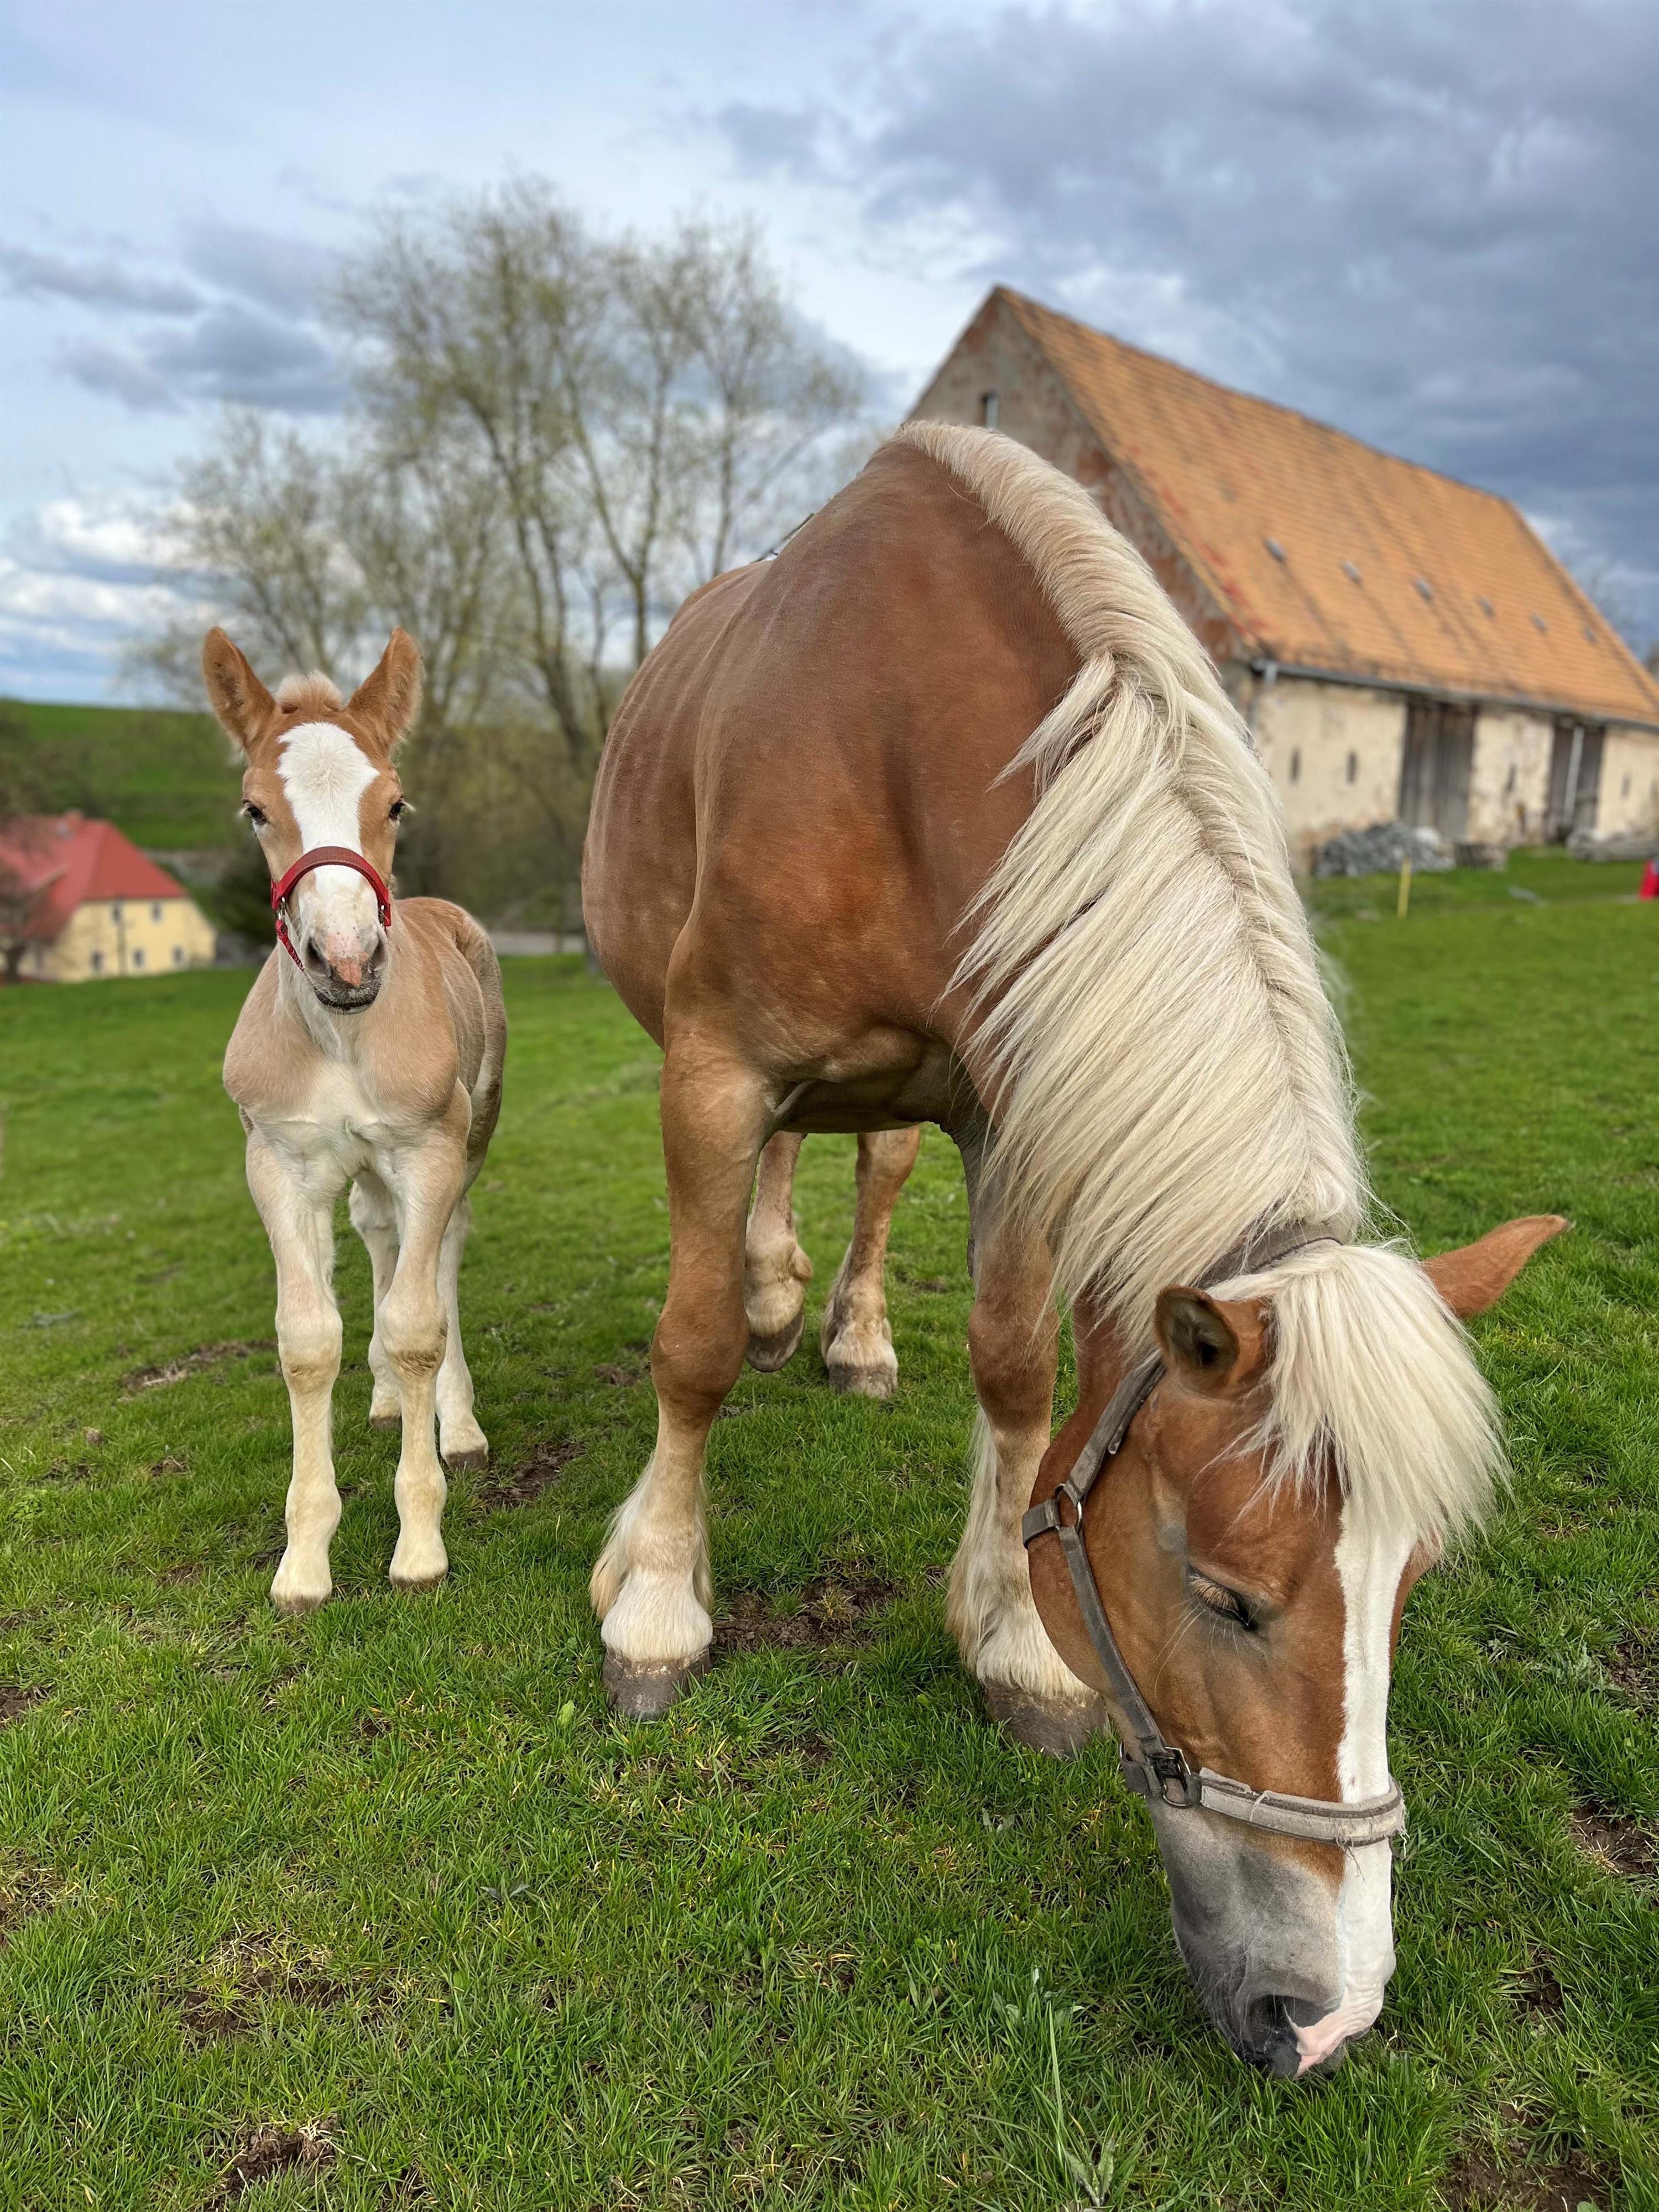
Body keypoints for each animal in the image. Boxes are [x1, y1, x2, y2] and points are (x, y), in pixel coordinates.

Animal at [205, 627, 505, 1613]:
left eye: (396, 803)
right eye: (255, 810)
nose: (345, 962)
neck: (341, 1037)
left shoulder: (428, 1151)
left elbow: (417, 1327)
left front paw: (420, 1545)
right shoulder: (277, 1164)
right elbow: (308, 1341)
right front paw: (303, 1562)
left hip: (469, 1137)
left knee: (439, 1256)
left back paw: (458, 1420)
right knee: (377, 1235)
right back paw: (378, 1399)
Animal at [581, 423, 1564, 2073]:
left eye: (1410, 1585)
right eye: (1226, 1594)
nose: (1329, 2014)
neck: (893, 734)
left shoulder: (1012, 1096)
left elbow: (1016, 1372)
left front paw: (1010, 1641)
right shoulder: (715, 1070)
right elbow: (695, 1346)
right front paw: (656, 1601)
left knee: (867, 1167)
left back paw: (843, 1328)